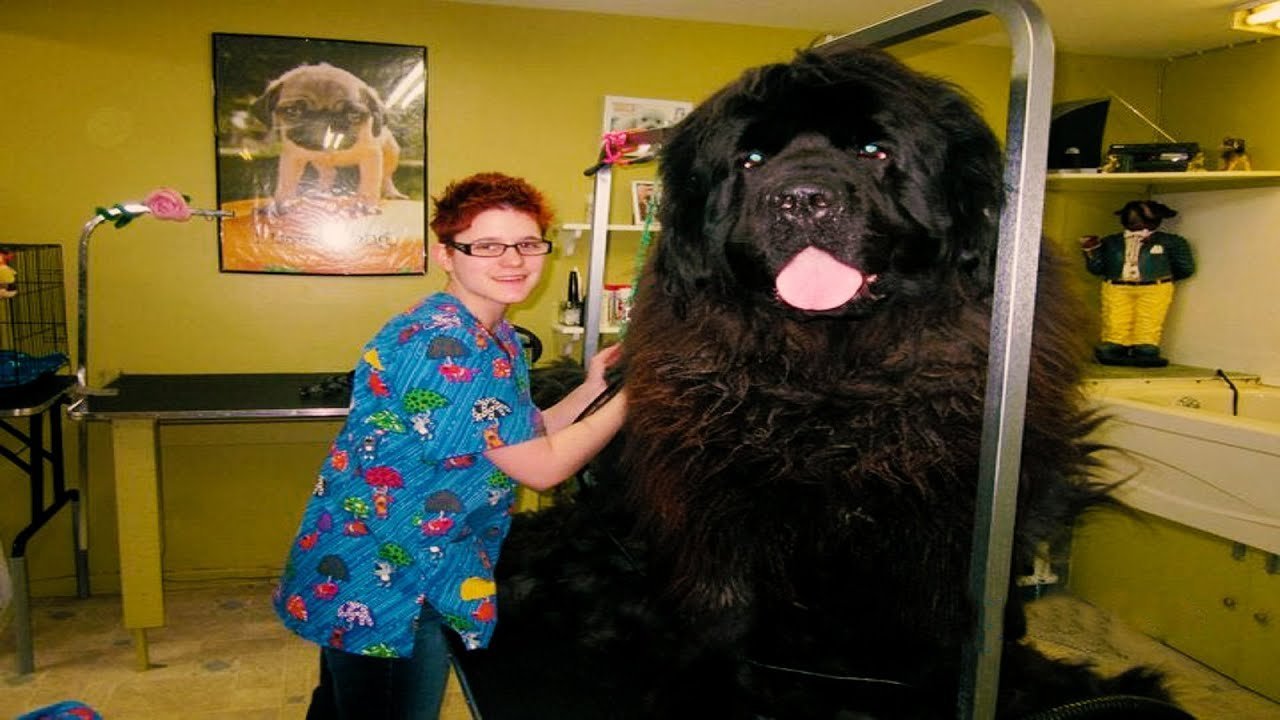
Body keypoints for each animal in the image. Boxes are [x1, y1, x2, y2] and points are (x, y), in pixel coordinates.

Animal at [252, 63, 406, 211]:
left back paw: (392, 193)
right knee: (329, 173)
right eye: (292, 111)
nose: (324, 121)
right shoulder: (293, 157)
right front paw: (282, 203)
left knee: (386, 177)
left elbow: (370, 183)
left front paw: (366, 205)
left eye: (354, 115)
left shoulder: (371, 157)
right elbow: (287, 182)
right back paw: (320, 192)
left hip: (392, 153)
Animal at [453, 47, 1191, 719]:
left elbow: (944, 634)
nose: (803, 198)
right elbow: (721, 610)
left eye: (874, 150)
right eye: (749, 161)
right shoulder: (713, 506)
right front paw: (709, 687)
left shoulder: (946, 525)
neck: (828, 379)